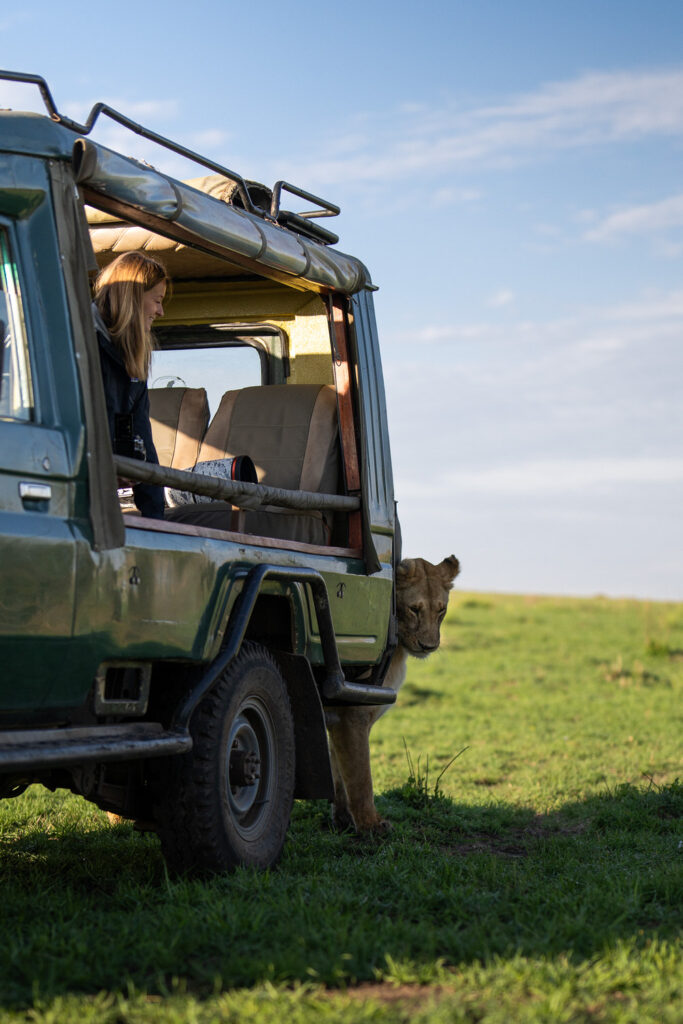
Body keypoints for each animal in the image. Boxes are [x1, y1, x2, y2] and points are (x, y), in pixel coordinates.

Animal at [326, 554, 460, 833]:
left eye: (441, 610)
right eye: (414, 609)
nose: (429, 646)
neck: (398, 649)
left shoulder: (338, 717)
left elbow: (339, 773)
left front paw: (343, 821)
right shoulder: (352, 716)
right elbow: (360, 777)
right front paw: (371, 826)